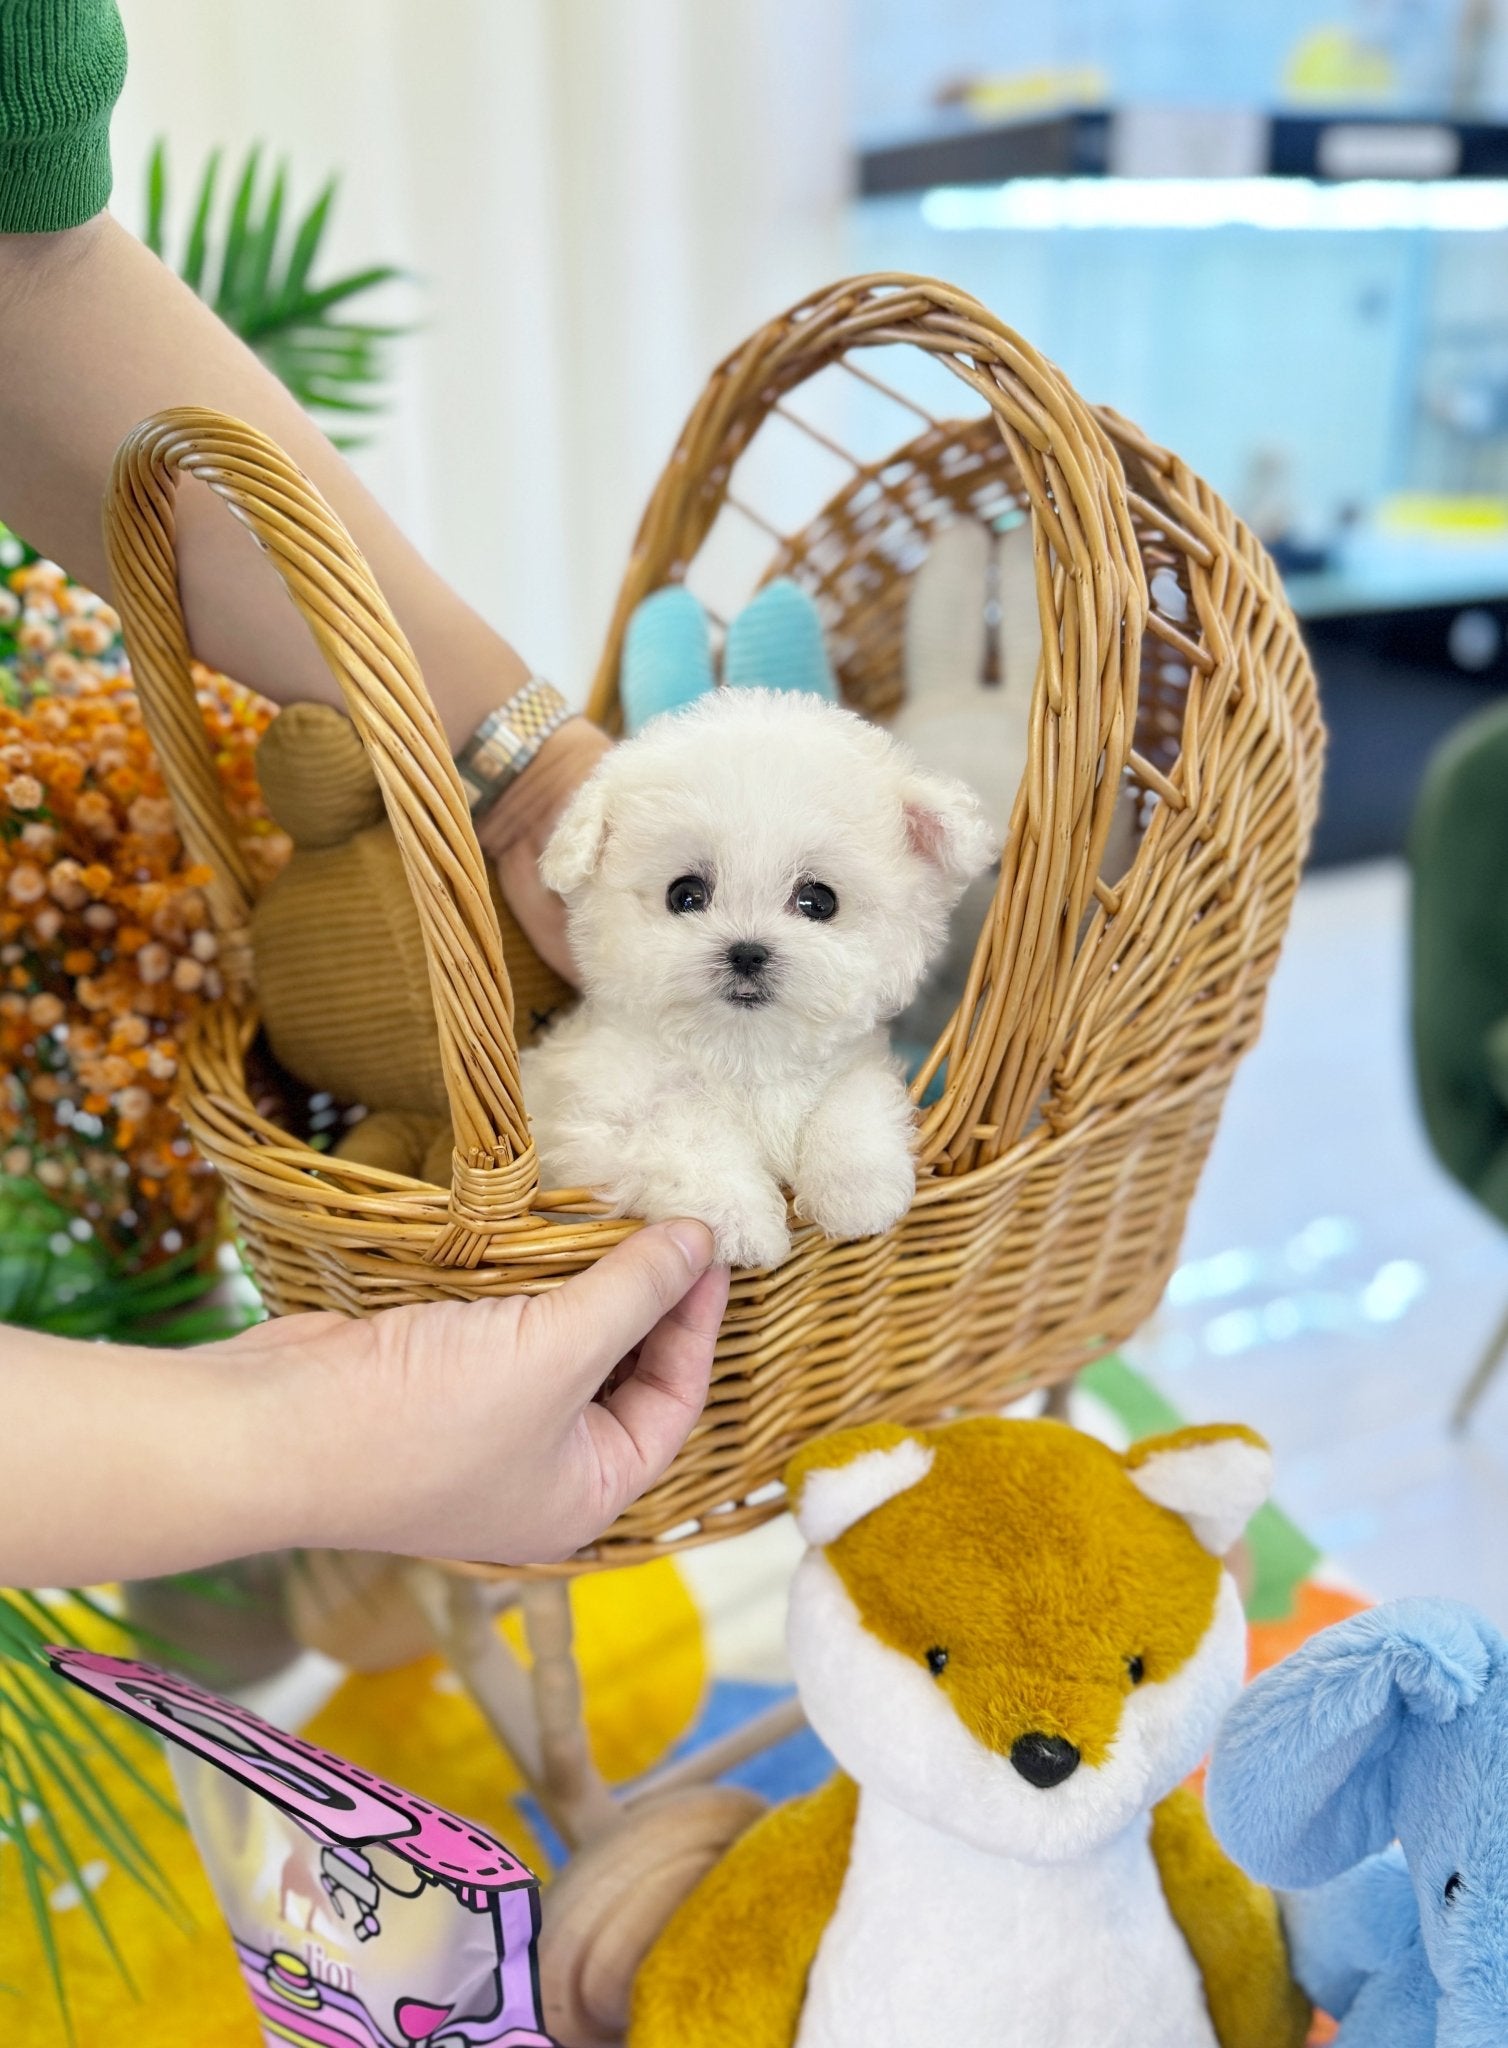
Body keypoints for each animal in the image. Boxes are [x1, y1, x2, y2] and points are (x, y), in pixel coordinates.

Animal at [524, 688, 995, 1261]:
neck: (745, 1055)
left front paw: (858, 1192)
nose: (747, 953)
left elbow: (853, 1100)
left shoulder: (853, 1062)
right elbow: (686, 1133)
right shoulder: (602, 1125)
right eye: (685, 895)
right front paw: (741, 1226)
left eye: (818, 901)